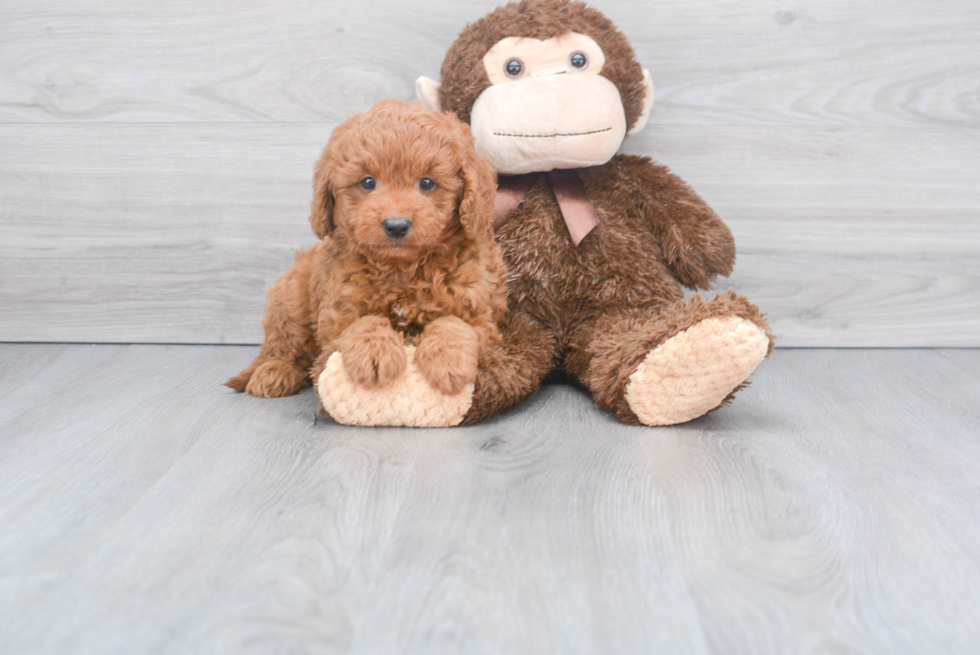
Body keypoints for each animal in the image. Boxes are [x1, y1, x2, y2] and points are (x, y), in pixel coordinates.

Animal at [227, 98, 510, 400]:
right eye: (367, 182)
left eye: (427, 183)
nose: (396, 225)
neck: (402, 270)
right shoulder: (339, 310)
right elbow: (363, 324)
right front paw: (375, 355)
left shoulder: (478, 311)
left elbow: (454, 324)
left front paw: (448, 361)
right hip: (290, 298)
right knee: (283, 345)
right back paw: (274, 372)